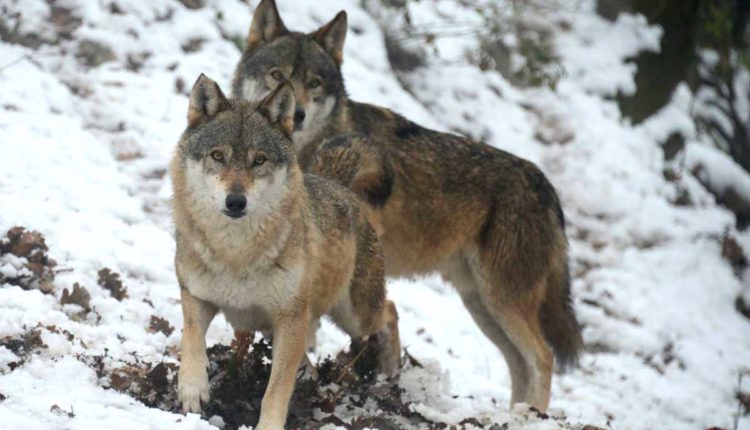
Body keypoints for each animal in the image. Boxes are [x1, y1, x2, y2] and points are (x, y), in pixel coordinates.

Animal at [170, 74, 401, 429]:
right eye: (218, 156)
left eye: (259, 160)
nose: (235, 202)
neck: (236, 252)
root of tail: (339, 186)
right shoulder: (196, 295)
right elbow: (192, 339)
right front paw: (192, 390)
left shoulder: (290, 320)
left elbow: (275, 391)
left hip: (355, 316)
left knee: (390, 310)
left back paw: (392, 371)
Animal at [230, 0, 583, 412]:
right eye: (277, 76)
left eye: (314, 83)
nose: (296, 114)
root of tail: (547, 187)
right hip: (482, 306)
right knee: (519, 364)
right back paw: (515, 414)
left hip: (502, 300)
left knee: (542, 357)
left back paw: (532, 415)